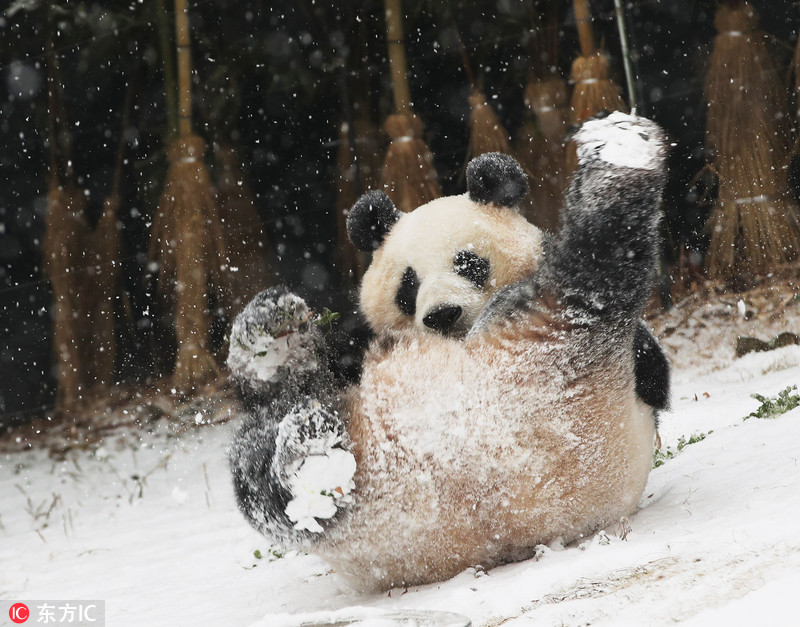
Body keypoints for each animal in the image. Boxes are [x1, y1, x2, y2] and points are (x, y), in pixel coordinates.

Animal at [227, 111, 668, 592]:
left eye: (468, 262)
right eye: (408, 284)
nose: (441, 314)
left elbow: (653, 371)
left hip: (553, 349)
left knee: (597, 275)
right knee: (265, 457)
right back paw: (280, 362)